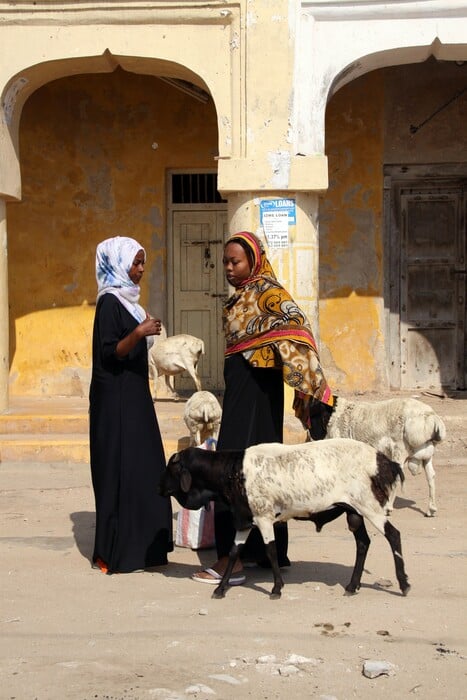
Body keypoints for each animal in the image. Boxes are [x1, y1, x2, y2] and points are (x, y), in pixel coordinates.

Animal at [160, 440, 410, 600]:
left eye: (171, 468)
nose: (159, 489)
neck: (232, 470)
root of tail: (384, 461)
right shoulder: (245, 518)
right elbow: (233, 552)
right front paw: (220, 589)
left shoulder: (264, 517)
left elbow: (270, 550)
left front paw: (276, 589)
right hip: (354, 511)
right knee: (363, 543)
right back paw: (352, 585)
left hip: (370, 506)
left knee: (394, 535)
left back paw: (404, 584)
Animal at [302, 396, 448, 516]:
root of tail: (430, 417)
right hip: (426, 455)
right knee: (431, 476)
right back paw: (431, 509)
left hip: (399, 450)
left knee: (397, 476)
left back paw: (388, 508)